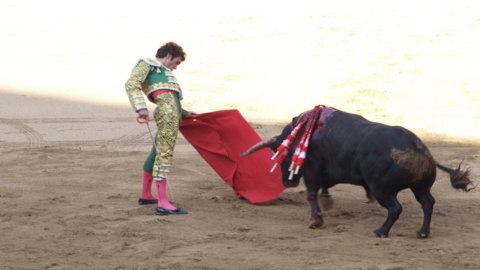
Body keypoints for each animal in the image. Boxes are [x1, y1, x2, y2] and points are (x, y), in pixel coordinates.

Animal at [242, 106, 474, 237]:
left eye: (281, 153)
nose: (287, 182)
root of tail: (418, 148)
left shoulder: (312, 171)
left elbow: (311, 194)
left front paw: (316, 220)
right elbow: (324, 188)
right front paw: (327, 202)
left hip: (383, 190)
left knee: (395, 208)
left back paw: (381, 232)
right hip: (420, 187)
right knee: (427, 203)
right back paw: (423, 232)